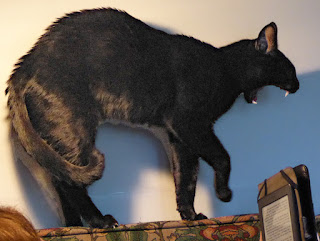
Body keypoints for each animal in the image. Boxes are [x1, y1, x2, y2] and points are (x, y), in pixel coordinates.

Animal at [6, 8, 298, 228]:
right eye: (291, 69)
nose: (297, 85)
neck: (225, 68)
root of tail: (25, 63)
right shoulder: (189, 124)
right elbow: (222, 158)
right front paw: (224, 194)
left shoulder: (179, 138)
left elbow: (186, 179)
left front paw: (190, 216)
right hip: (75, 130)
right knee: (70, 183)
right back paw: (99, 221)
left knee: (60, 177)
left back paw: (73, 226)